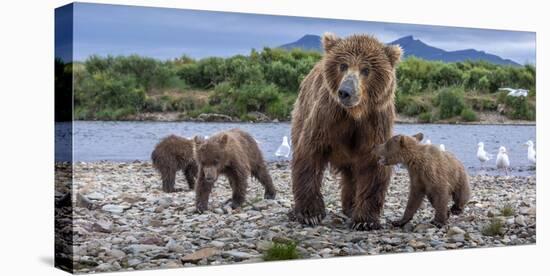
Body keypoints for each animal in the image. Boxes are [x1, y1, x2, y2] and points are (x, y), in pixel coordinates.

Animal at [292, 33, 404, 231]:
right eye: (343, 65)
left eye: (366, 69)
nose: (345, 92)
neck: (354, 114)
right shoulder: (327, 117)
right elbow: (309, 155)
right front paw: (310, 214)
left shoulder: (374, 123)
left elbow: (373, 164)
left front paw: (365, 220)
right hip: (302, 111)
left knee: (352, 175)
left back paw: (350, 207)